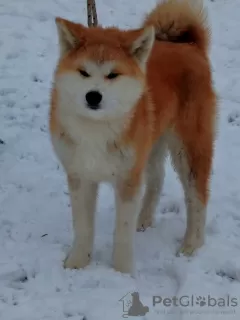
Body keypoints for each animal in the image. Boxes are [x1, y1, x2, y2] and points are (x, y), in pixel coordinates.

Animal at [50, 0, 218, 274]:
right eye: (84, 72)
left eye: (113, 75)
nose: (93, 96)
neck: (96, 130)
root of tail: (189, 46)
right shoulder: (80, 174)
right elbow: (83, 227)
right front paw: (78, 262)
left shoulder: (127, 178)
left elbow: (122, 232)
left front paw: (121, 271)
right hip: (150, 145)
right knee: (158, 178)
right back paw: (145, 218)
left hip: (189, 147)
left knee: (198, 196)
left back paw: (192, 244)